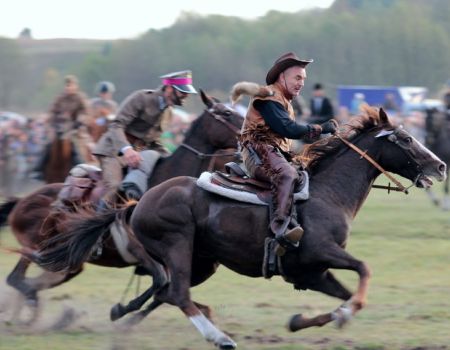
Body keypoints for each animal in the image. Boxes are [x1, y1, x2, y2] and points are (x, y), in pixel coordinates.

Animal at [0, 90, 243, 322]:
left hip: (67, 260)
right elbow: (161, 282)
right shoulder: (138, 248)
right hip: (37, 246)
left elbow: (164, 289)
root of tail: (21, 201)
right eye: (227, 113)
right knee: (17, 279)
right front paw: (122, 310)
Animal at [35, 107, 446, 350]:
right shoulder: (321, 253)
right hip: (179, 248)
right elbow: (363, 273)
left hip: (203, 262)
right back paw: (219, 337)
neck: (326, 194)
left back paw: (129, 318)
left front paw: (301, 321)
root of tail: (140, 202)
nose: (440, 166)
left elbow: (344, 294)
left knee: (166, 291)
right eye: (405, 138)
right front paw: (340, 316)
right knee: (177, 292)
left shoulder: (309, 272)